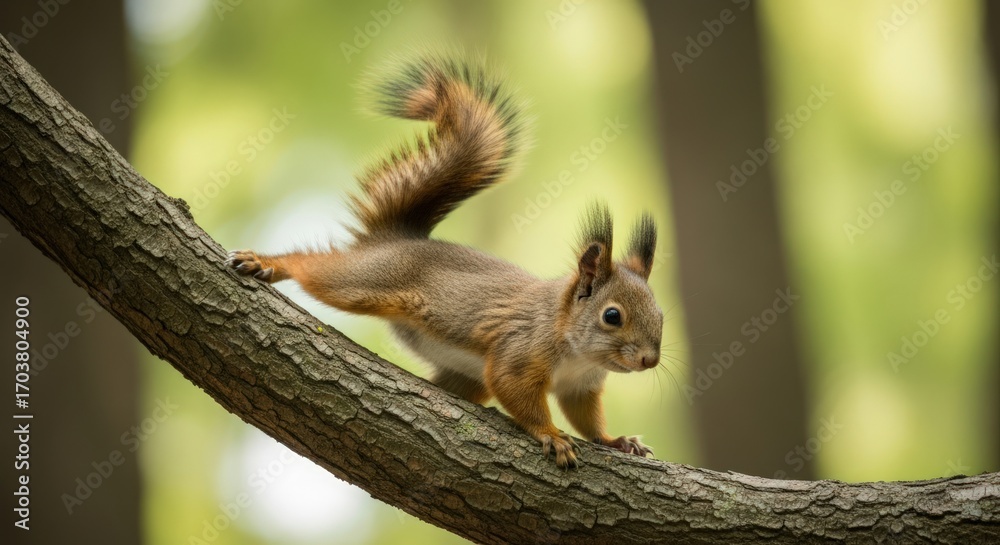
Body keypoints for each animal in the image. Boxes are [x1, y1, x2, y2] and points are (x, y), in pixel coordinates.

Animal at [226, 54, 664, 469]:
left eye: (662, 316)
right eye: (612, 316)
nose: (650, 360)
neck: (577, 352)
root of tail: (397, 238)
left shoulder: (581, 387)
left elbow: (587, 419)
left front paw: (616, 441)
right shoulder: (520, 351)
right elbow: (517, 393)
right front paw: (551, 435)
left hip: (464, 376)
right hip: (368, 281)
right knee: (316, 269)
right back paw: (267, 263)